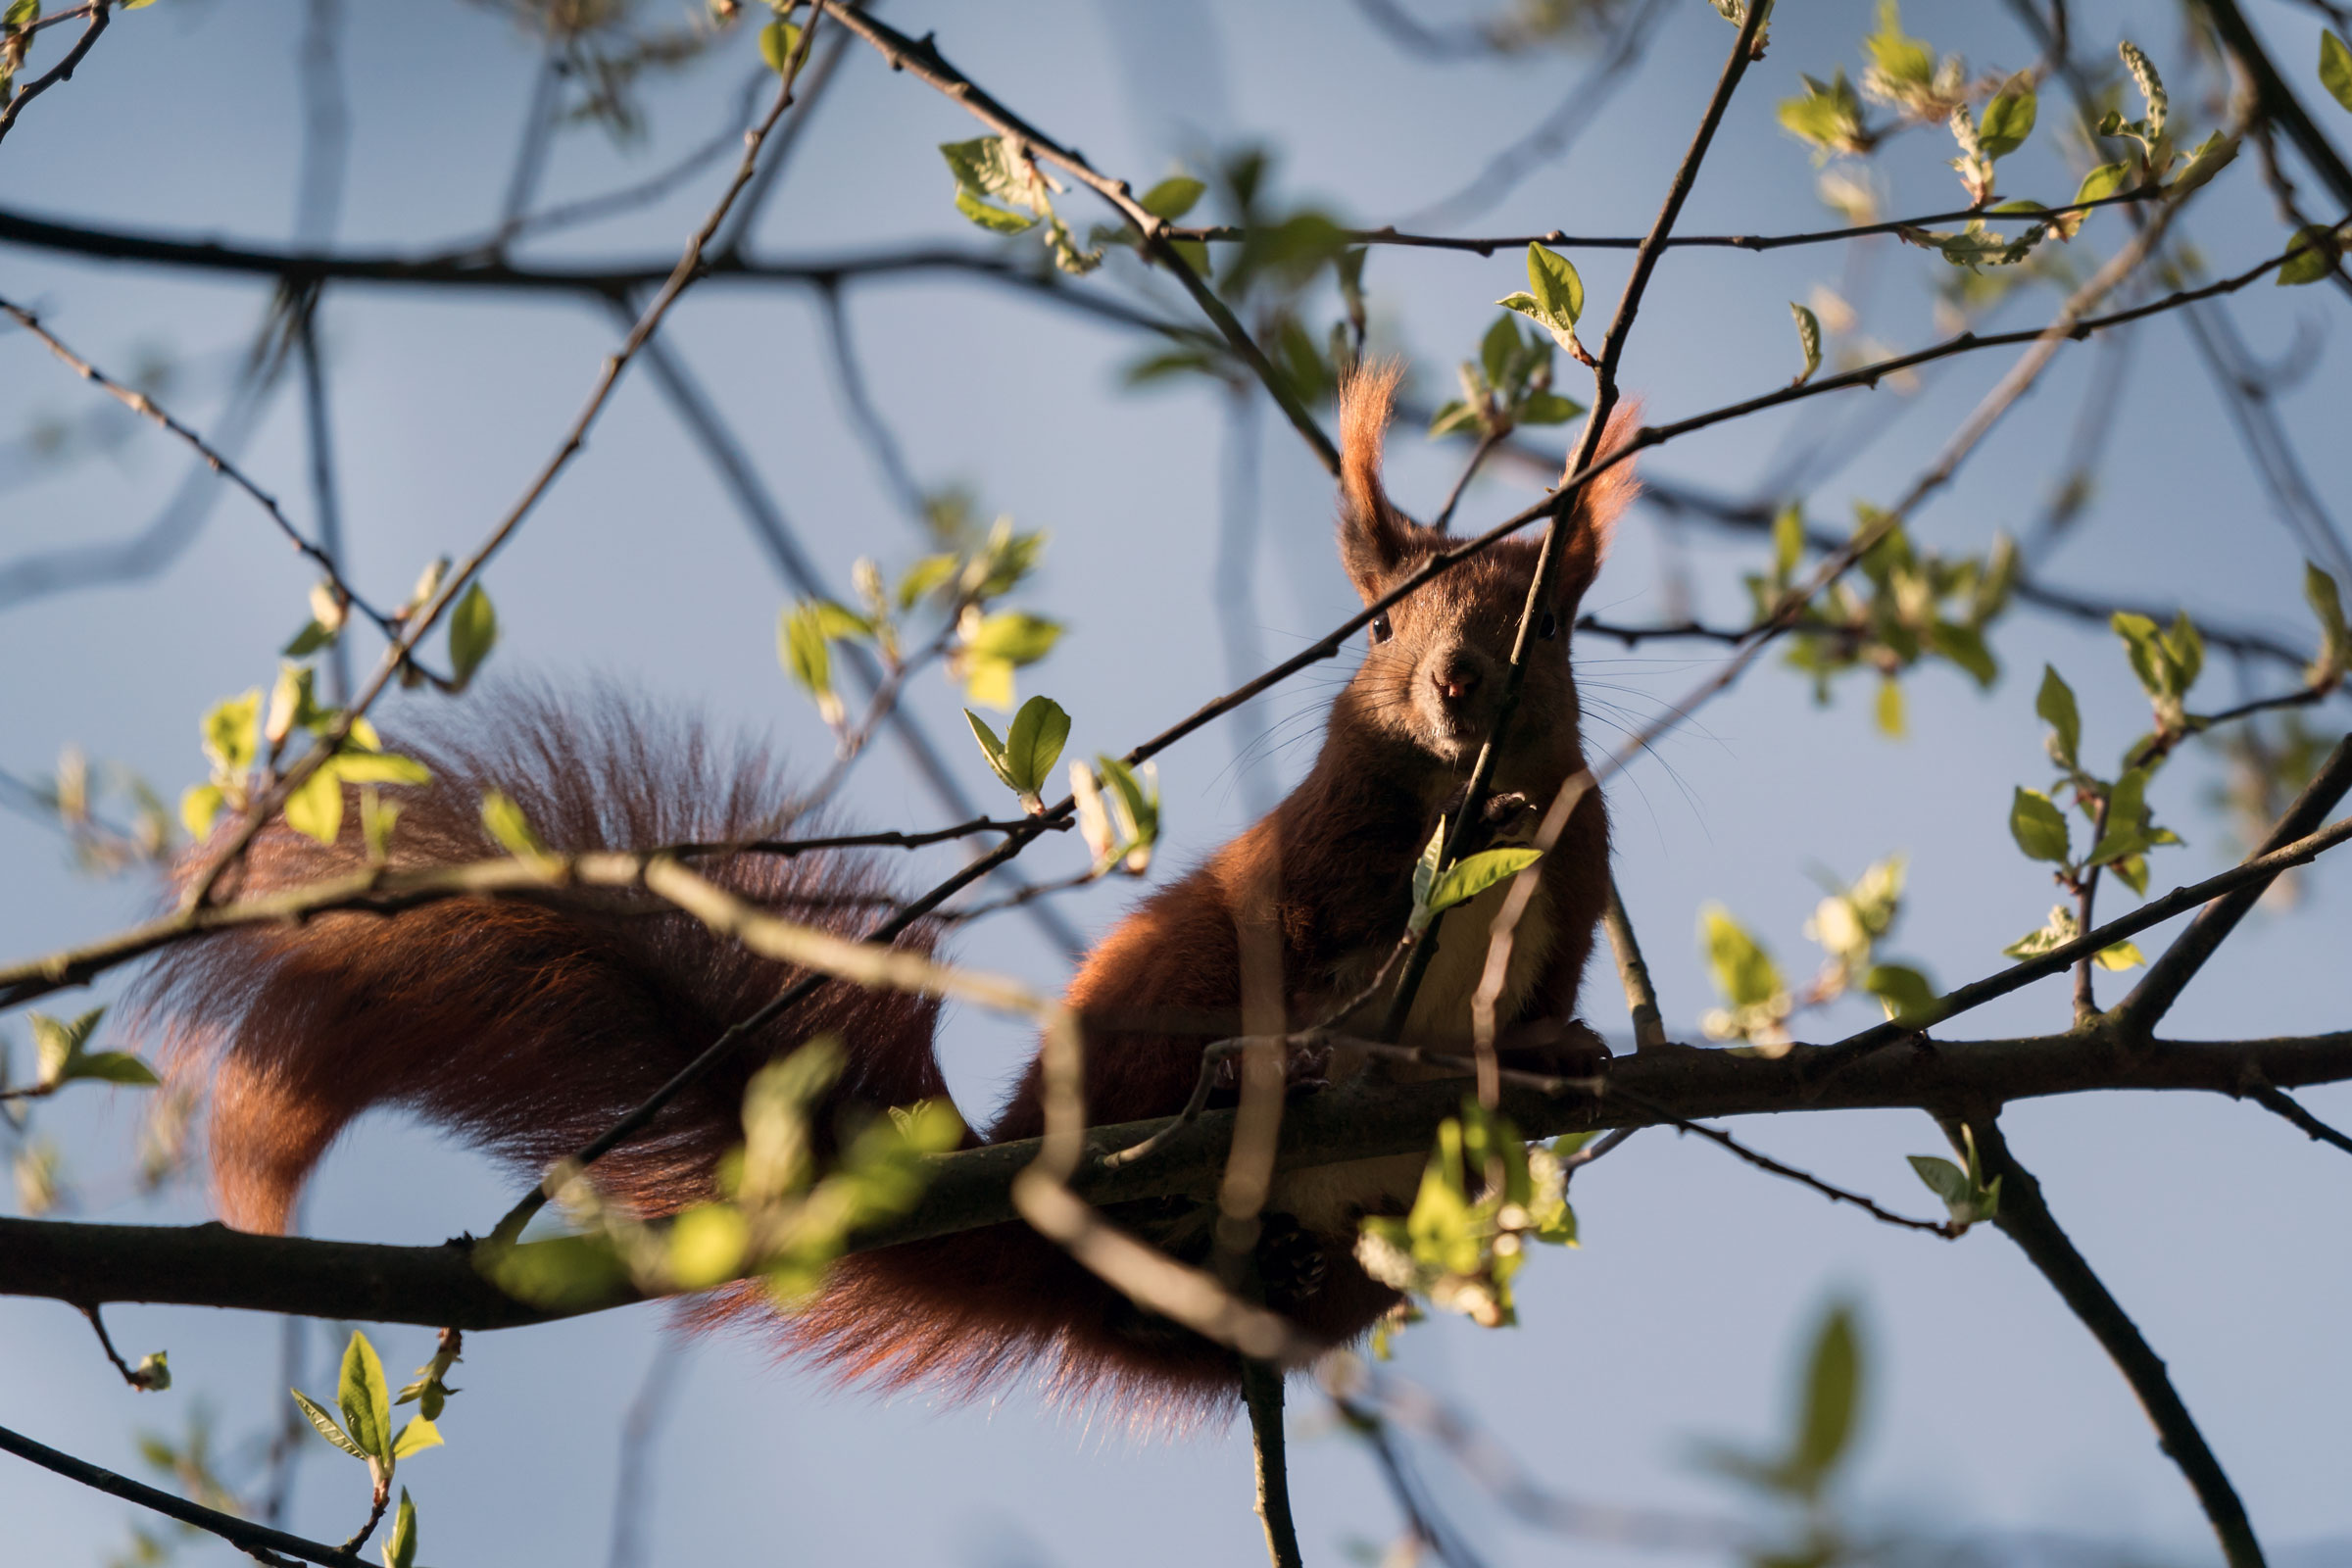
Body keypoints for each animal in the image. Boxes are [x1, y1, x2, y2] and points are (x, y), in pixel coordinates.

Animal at [133, 371, 1637, 1419]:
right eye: (1382, 623)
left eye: (1556, 625)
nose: (1457, 685)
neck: (1460, 810)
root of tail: (1024, 1194)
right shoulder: (1319, 863)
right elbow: (1334, 933)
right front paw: (1354, 1035)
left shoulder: (1577, 870)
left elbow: (1544, 976)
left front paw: (1555, 1045)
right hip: (1159, 993)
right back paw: (1251, 1084)